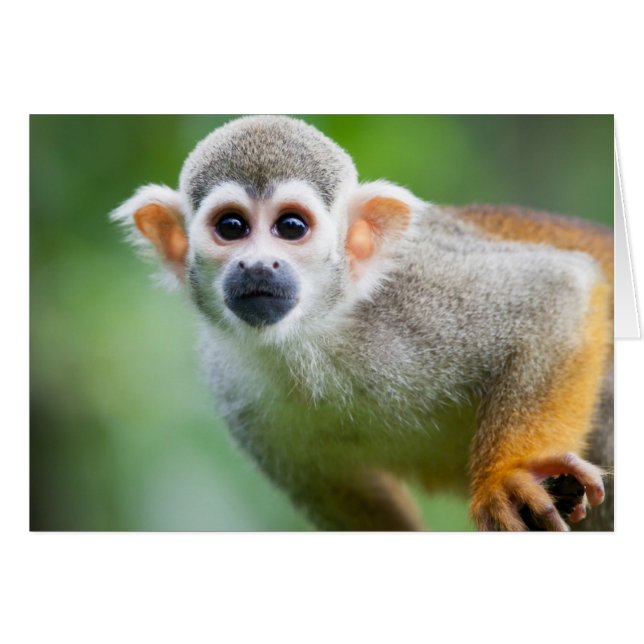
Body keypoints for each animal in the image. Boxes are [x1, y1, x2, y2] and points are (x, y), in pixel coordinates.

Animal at [111, 115, 613, 531]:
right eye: (231, 227)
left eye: (291, 227)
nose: (257, 266)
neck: (314, 334)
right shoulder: (233, 385)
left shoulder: (420, 294)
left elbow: (557, 289)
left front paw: (507, 478)